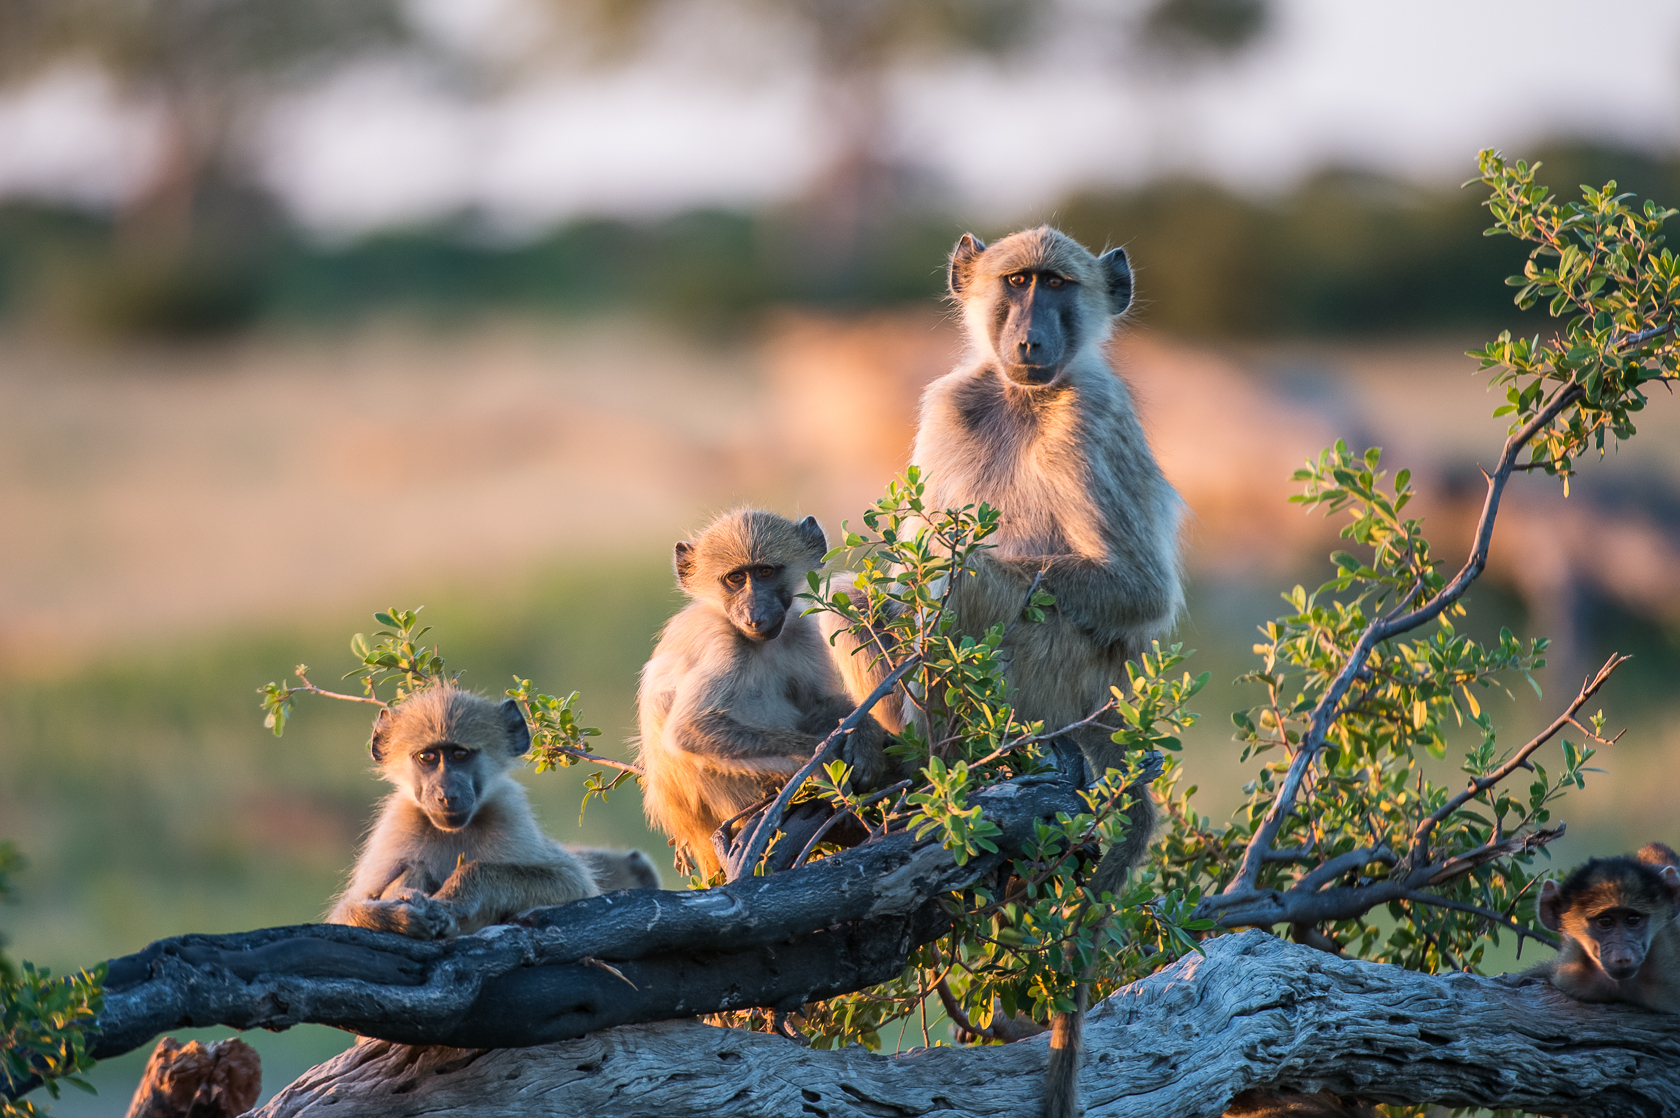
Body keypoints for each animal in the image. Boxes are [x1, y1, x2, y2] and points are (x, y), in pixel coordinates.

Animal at [327, 685, 599, 939]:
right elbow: (345, 912)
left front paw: (452, 898)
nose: (447, 796)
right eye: (427, 756)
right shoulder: (397, 825)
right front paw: (395, 916)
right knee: (416, 867)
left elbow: (572, 882)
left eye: (460, 754)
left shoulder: (509, 813)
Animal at [636, 508, 899, 879]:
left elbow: (819, 703)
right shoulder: (721, 642)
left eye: (765, 572)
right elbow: (692, 729)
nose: (755, 614)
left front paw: (866, 737)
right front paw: (820, 763)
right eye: (734, 579)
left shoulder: (800, 629)